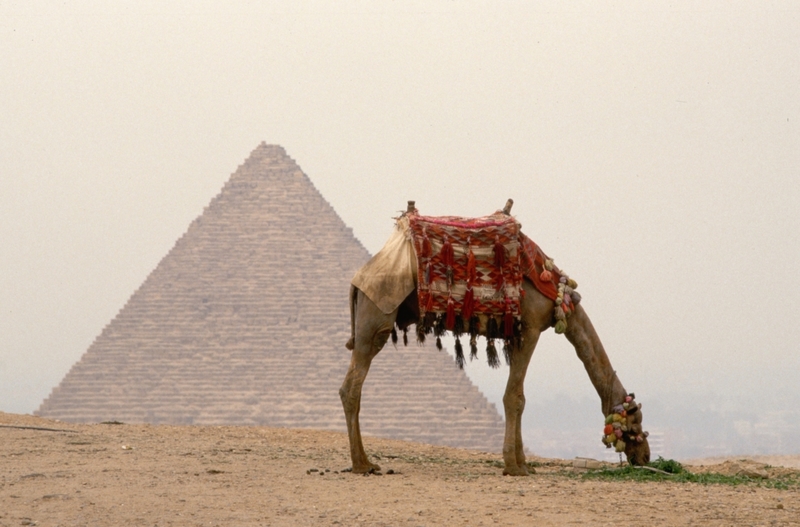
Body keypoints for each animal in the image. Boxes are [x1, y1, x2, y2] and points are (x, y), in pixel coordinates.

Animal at [340, 200, 648, 476]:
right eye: (636, 422)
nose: (644, 456)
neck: (557, 294)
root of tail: (357, 280)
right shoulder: (531, 328)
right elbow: (516, 397)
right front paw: (514, 466)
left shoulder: (516, 335)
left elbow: (517, 395)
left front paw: (523, 464)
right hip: (377, 314)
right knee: (352, 386)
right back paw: (363, 464)